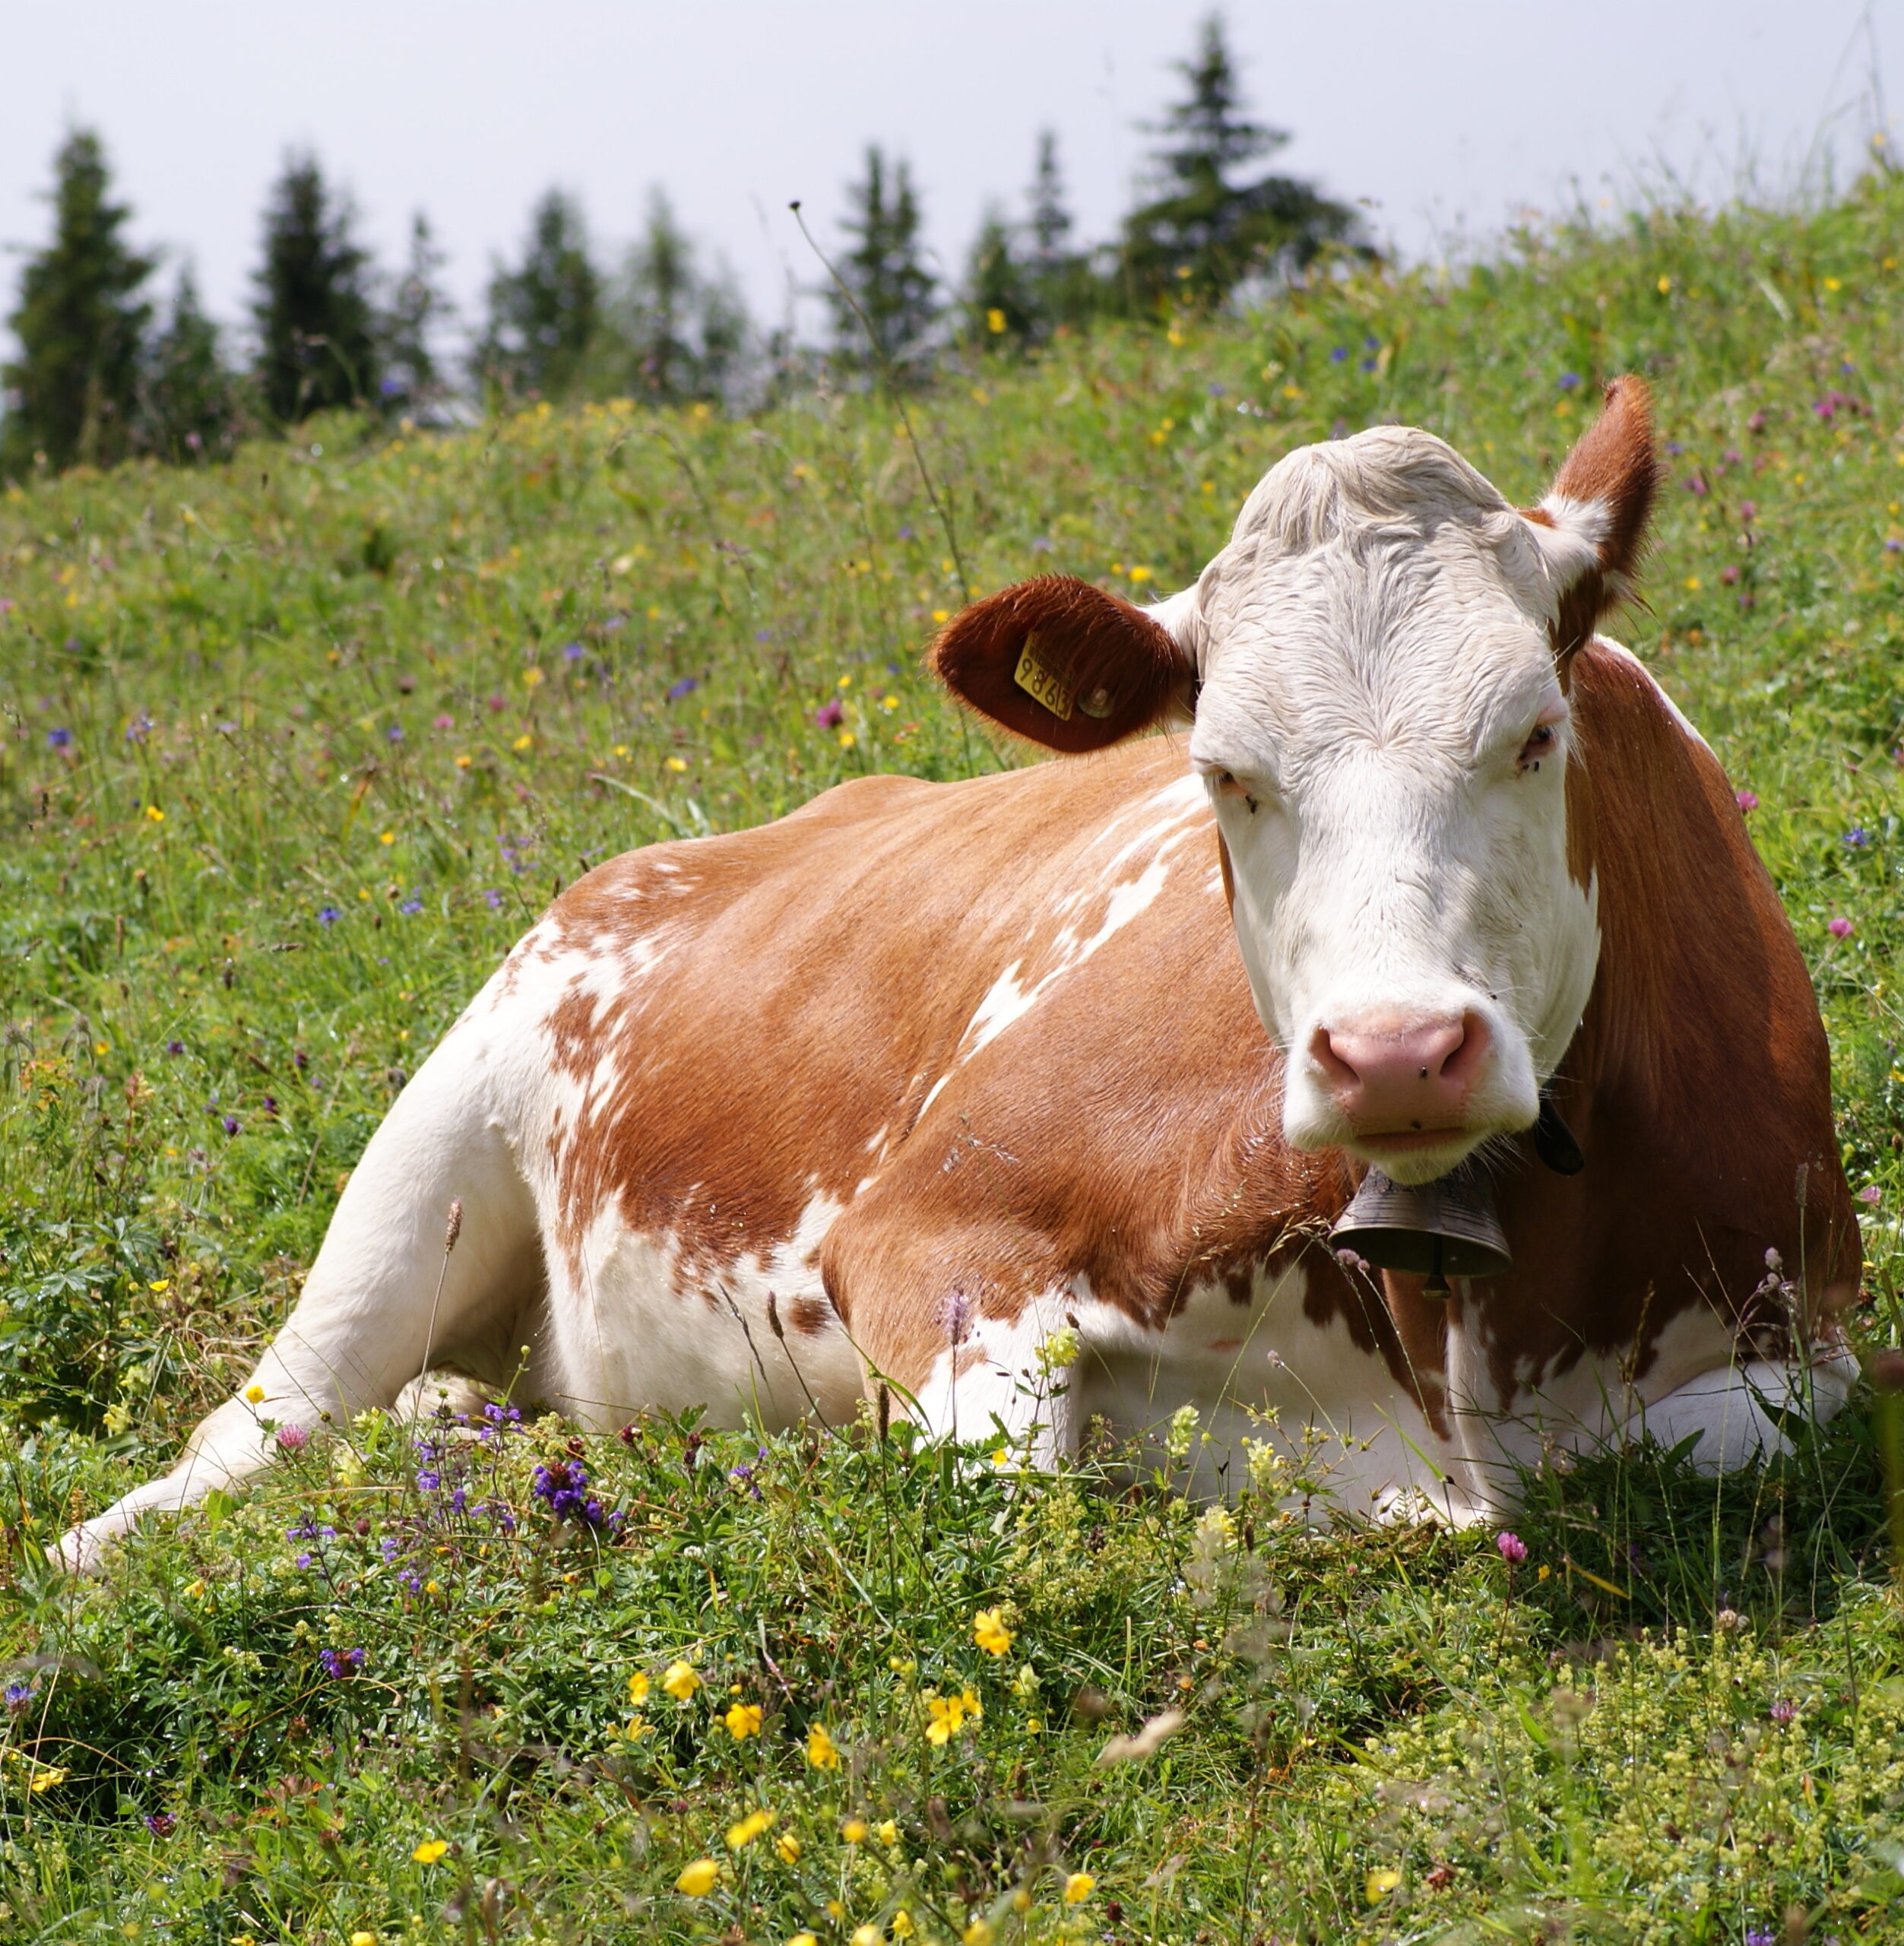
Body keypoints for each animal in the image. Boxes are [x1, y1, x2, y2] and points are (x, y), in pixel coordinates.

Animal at [60, 376, 1860, 1572]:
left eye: (1533, 731)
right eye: (1222, 774)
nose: (1396, 1051)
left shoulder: (1812, 1344)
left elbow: (1729, 1441)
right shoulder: (931, 1231)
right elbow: (1013, 1488)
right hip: (432, 1150)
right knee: (260, 1427)